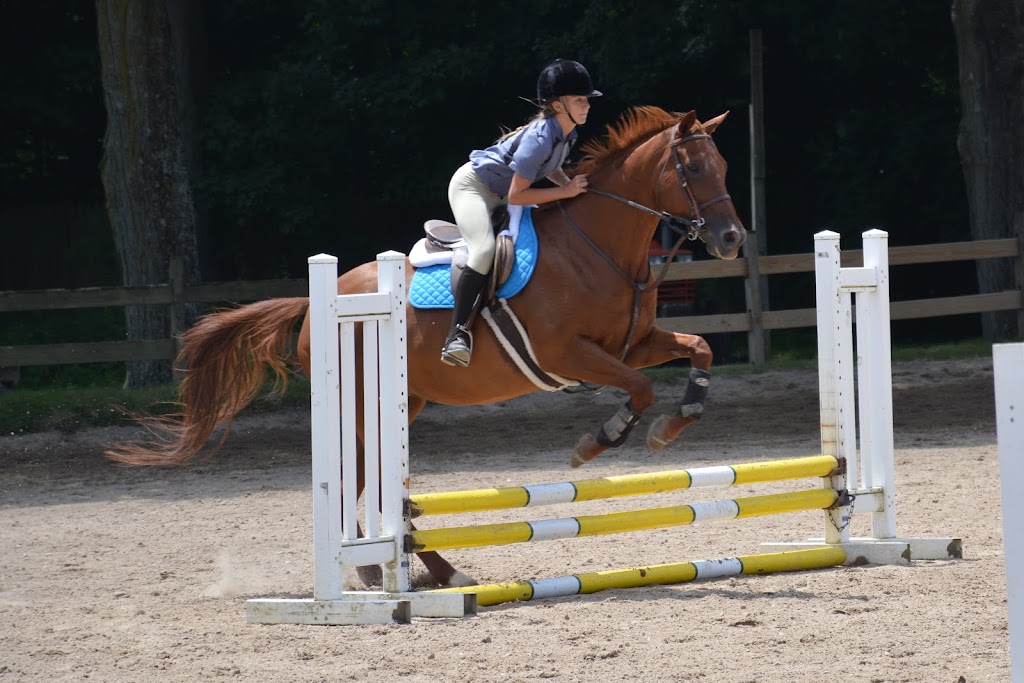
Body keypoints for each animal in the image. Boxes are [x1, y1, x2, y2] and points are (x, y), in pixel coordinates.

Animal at [105, 107, 745, 589]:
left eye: (723, 165)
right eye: (691, 167)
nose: (732, 239)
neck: (599, 247)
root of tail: (320, 302)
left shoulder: (633, 344)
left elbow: (699, 349)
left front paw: (676, 421)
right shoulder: (566, 354)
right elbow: (638, 389)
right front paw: (599, 442)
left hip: (401, 404)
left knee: (381, 487)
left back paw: (433, 569)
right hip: (364, 406)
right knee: (365, 483)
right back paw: (387, 574)